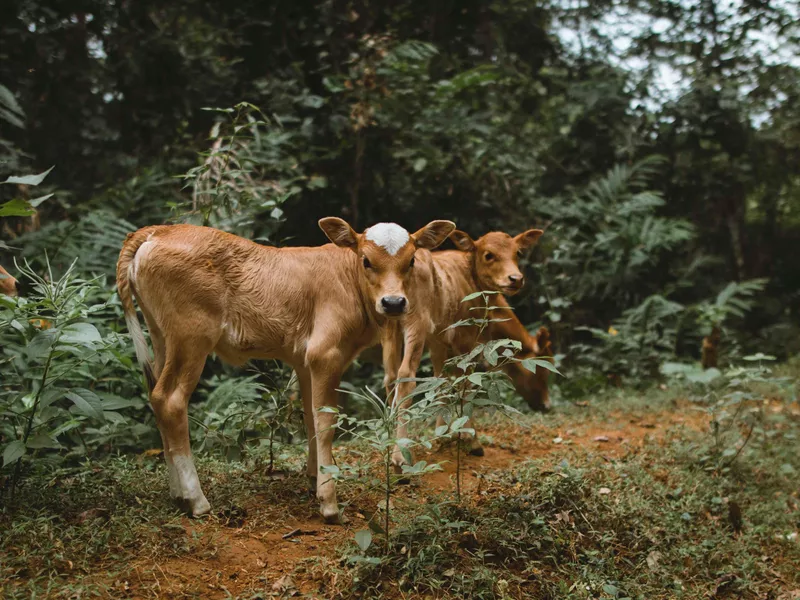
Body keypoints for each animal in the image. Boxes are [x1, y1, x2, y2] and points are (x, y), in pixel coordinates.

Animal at [119, 219, 456, 520]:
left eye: (411, 260)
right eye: (366, 260)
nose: (394, 302)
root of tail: (157, 230)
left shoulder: (304, 361)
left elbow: (310, 418)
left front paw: (314, 477)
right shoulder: (325, 354)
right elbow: (326, 423)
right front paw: (329, 501)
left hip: (162, 337)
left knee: (156, 397)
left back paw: (177, 495)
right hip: (191, 338)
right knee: (171, 401)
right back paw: (196, 500)